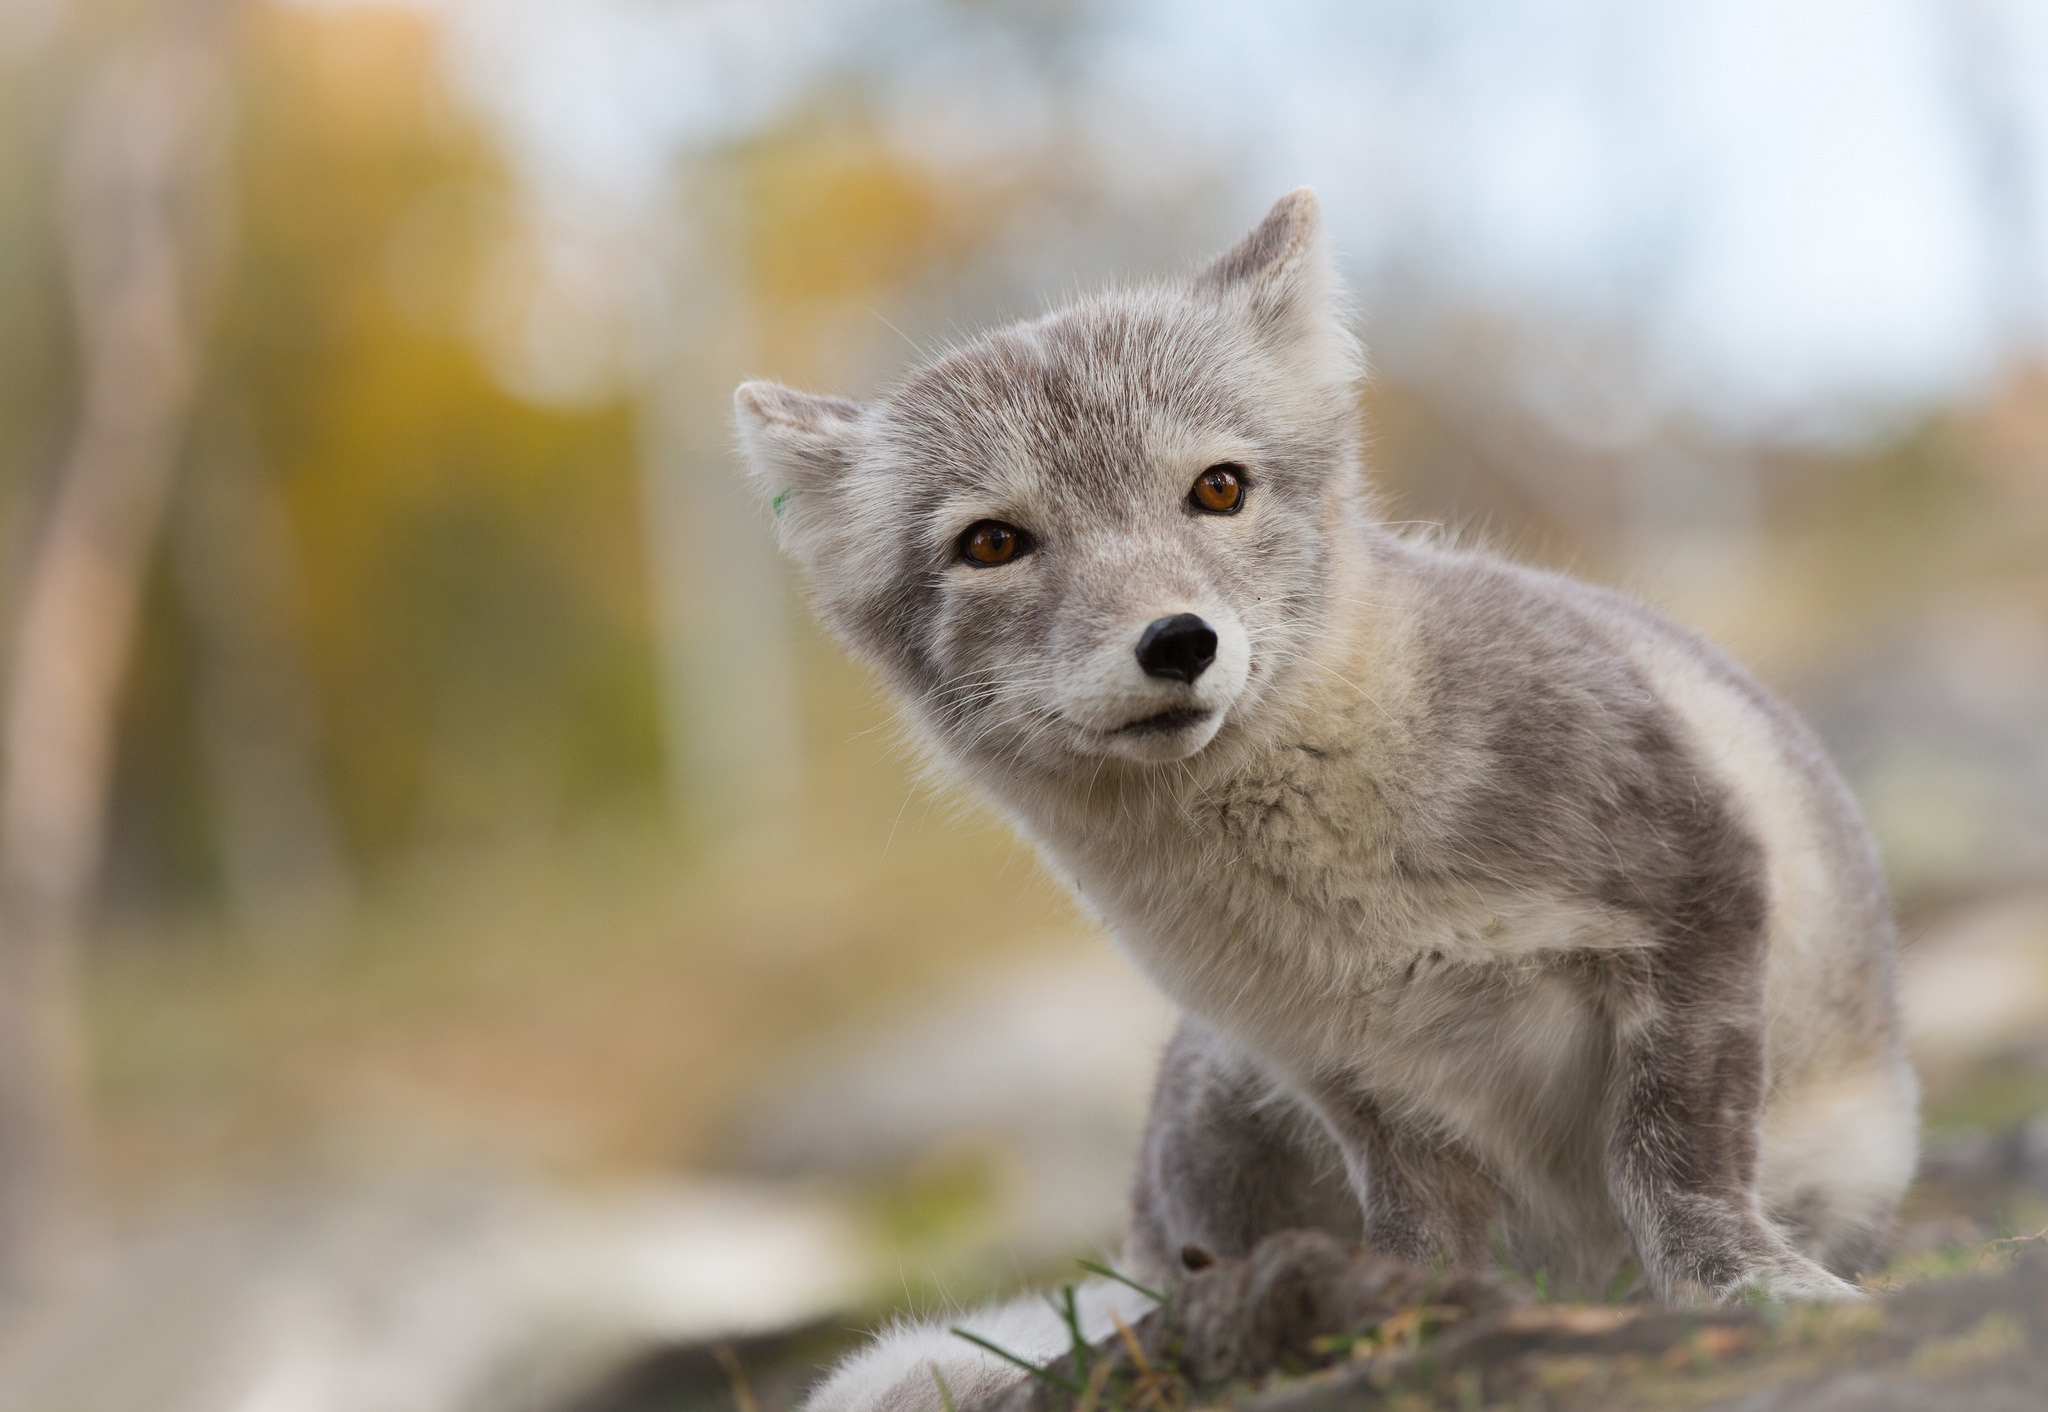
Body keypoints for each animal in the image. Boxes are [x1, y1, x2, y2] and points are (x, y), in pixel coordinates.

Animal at [733, 189, 1916, 1409]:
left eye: (1218, 486)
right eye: (992, 543)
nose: (1177, 641)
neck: (1343, 891)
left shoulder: (1694, 890)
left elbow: (1673, 1154)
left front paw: (1743, 1286)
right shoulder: (1352, 1075)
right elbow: (1415, 1241)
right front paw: (1401, 1326)